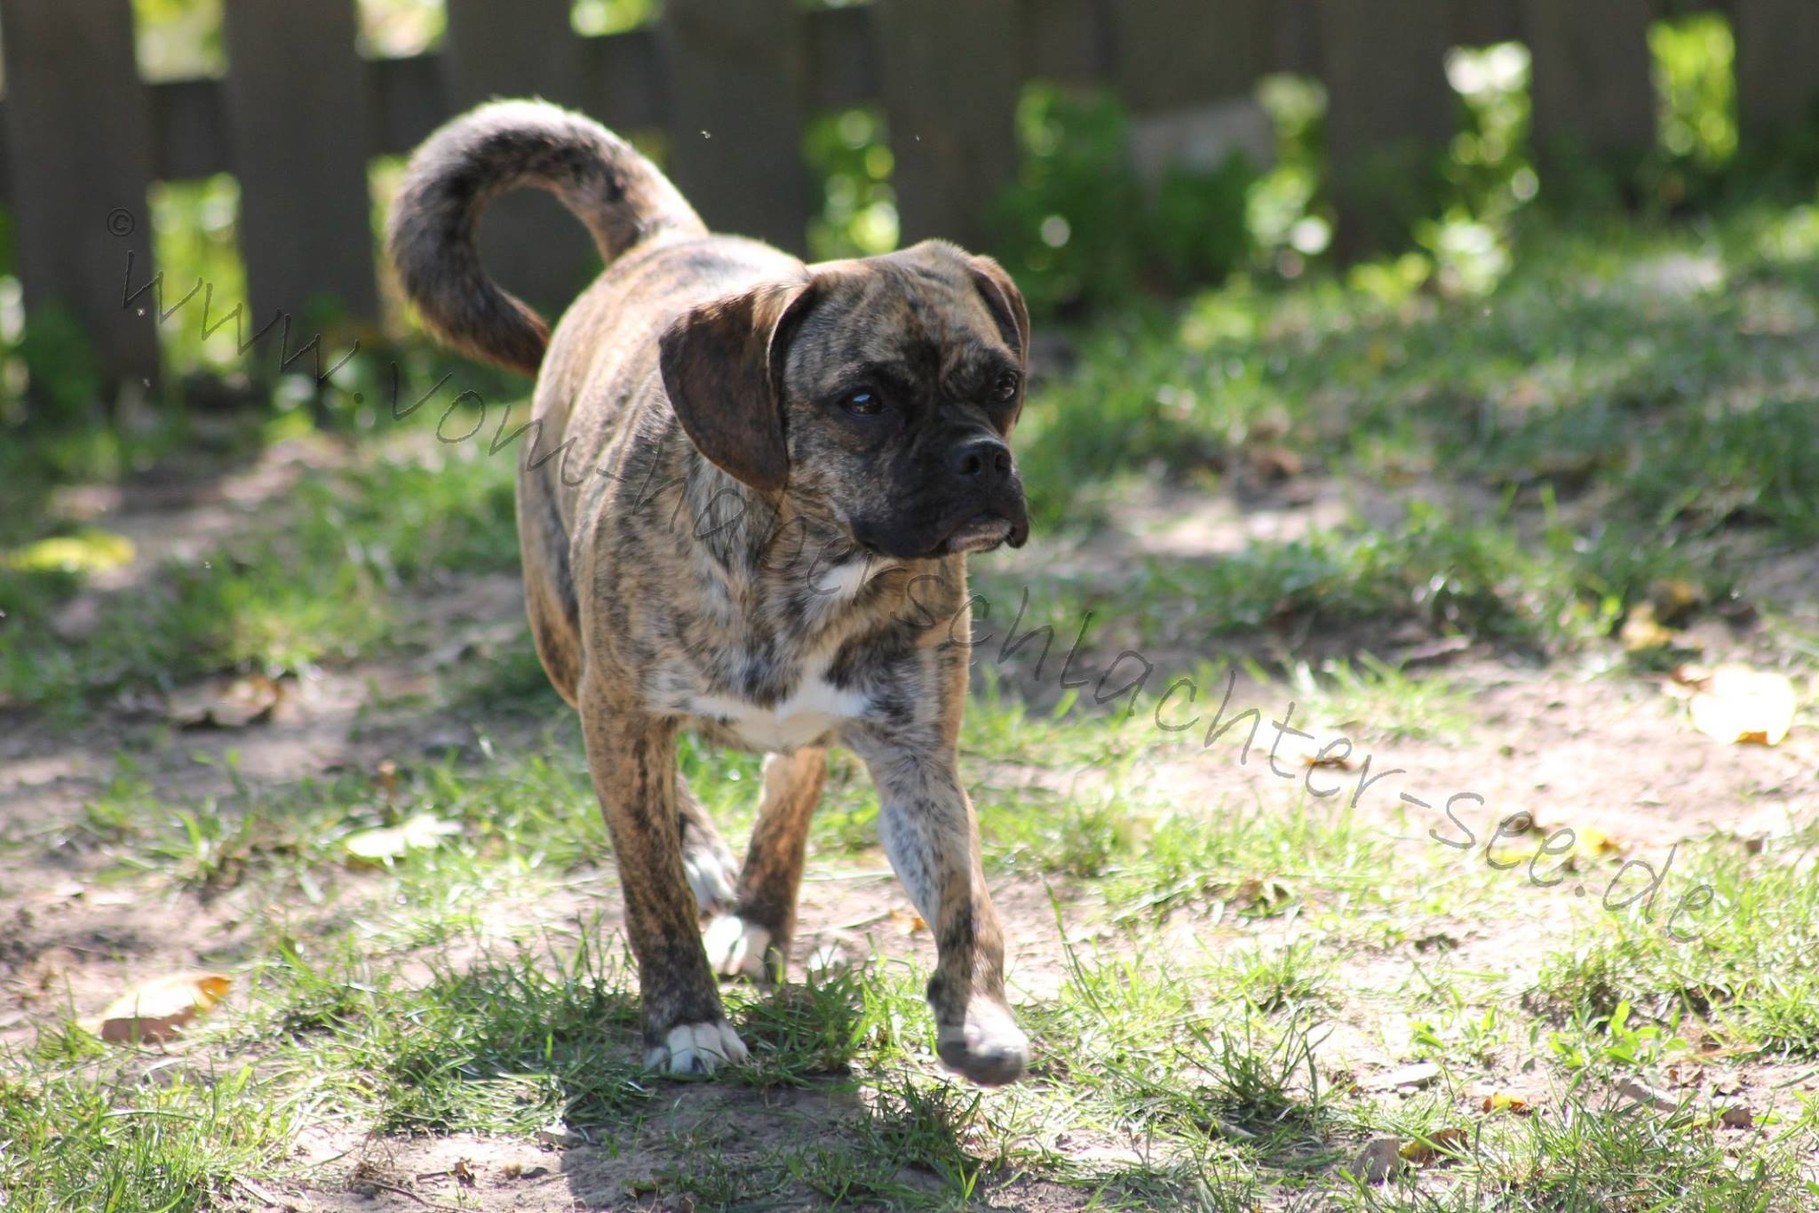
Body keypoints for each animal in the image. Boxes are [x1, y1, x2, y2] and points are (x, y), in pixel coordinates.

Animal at [391, 101, 1033, 1083]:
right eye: (863, 401)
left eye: (1002, 384)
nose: (984, 459)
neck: (807, 565)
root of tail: (665, 238)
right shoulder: (619, 712)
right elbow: (648, 880)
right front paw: (686, 1018)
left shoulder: (915, 753)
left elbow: (962, 893)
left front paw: (978, 1011)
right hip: (566, 649)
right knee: (660, 801)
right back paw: (705, 866)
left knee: (793, 776)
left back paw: (761, 914)